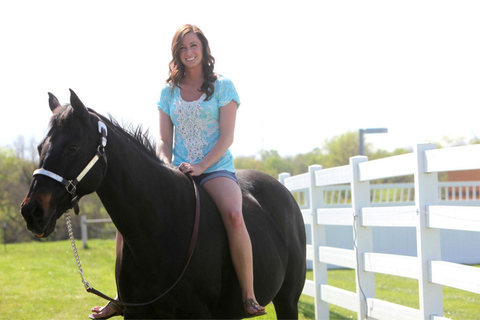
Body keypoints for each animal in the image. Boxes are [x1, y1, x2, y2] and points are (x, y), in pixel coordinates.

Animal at [20, 90, 306, 320]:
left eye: (72, 147)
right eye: (40, 147)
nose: (31, 211)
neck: (159, 226)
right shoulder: (137, 314)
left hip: (287, 302)